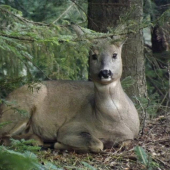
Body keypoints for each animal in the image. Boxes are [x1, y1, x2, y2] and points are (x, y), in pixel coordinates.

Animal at [0, 33, 139, 153]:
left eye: (115, 55)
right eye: (94, 56)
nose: (105, 72)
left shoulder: (131, 135)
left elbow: (126, 142)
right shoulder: (70, 127)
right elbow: (97, 143)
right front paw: (58, 144)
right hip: (20, 108)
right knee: (5, 136)